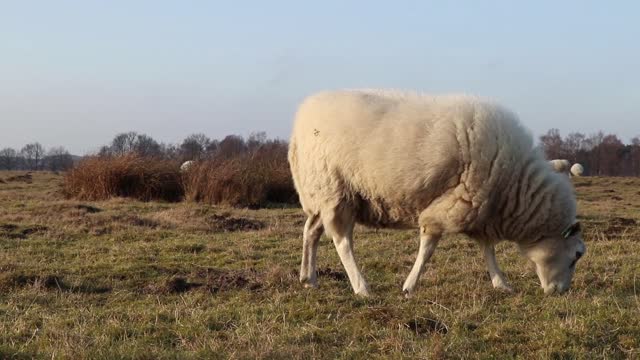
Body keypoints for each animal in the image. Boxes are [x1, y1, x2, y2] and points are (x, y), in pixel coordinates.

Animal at [288, 88, 584, 296]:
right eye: (576, 256)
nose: (560, 292)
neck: (514, 188)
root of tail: (300, 121)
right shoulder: (456, 204)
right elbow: (428, 249)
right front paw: (409, 286)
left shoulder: (478, 208)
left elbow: (487, 249)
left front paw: (500, 282)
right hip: (335, 190)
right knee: (342, 242)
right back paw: (361, 287)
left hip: (320, 193)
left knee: (311, 231)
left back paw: (308, 278)